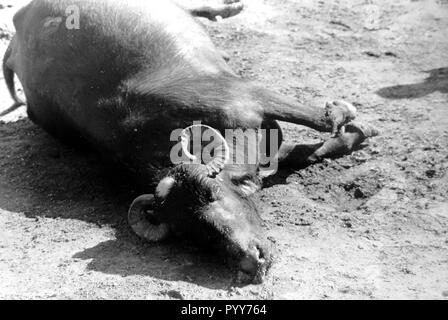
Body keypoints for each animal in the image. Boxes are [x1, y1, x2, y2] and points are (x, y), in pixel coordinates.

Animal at [3, 0, 378, 284]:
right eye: (192, 232)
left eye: (211, 193)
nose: (250, 262)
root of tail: (20, 19)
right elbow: (311, 151)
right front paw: (354, 134)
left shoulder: (250, 96)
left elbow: (323, 120)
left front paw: (353, 120)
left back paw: (226, 8)